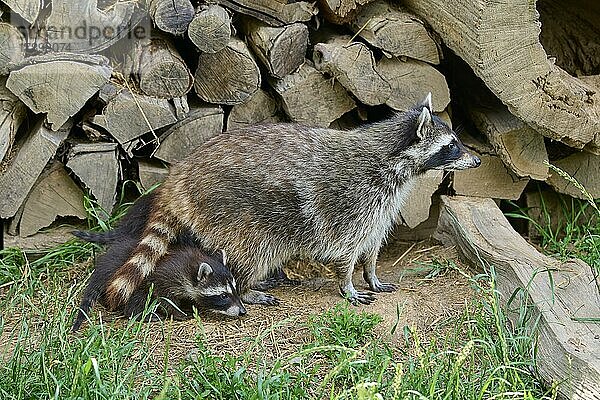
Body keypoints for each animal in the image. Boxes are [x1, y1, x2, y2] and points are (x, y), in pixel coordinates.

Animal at [71, 233, 245, 330]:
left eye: (235, 290)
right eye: (224, 295)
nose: (243, 311)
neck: (192, 265)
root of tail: (105, 264)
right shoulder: (164, 277)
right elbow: (164, 298)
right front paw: (177, 312)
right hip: (130, 279)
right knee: (137, 296)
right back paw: (139, 313)